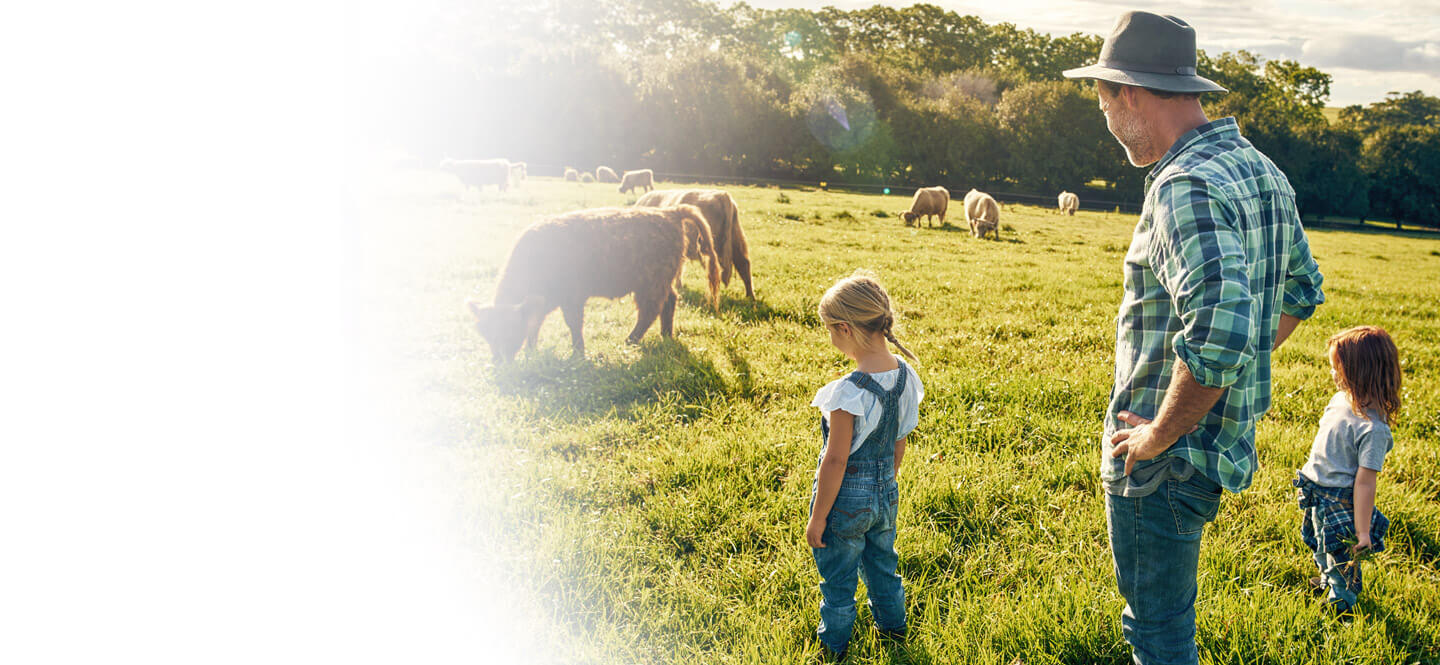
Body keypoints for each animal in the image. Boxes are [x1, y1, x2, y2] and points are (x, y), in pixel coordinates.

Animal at [466, 204, 720, 364]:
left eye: (510, 330)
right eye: (485, 333)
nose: (498, 362)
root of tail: (670, 212)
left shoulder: (573, 297)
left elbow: (573, 324)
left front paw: (578, 355)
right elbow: (535, 324)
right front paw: (532, 352)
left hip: (652, 281)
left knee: (650, 310)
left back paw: (629, 341)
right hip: (660, 280)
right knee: (670, 300)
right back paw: (665, 336)